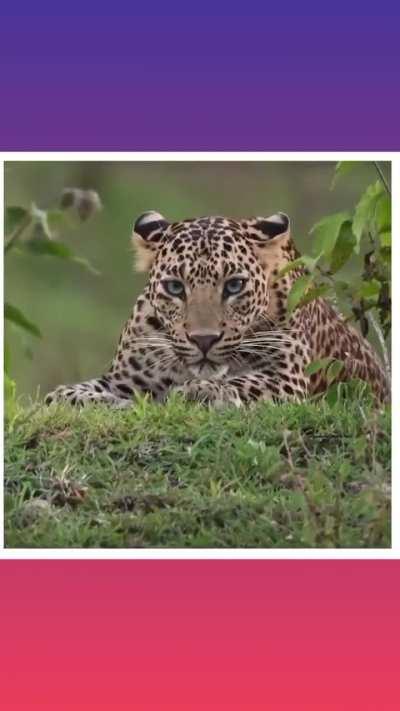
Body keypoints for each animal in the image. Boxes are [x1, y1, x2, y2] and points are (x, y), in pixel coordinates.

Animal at [45, 210, 389, 408]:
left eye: (234, 286)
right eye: (175, 287)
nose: (204, 340)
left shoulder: (287, 377)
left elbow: (241, 381)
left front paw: (200, 391)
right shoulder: (124, 379)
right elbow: (59, 395)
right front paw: (98, 401)